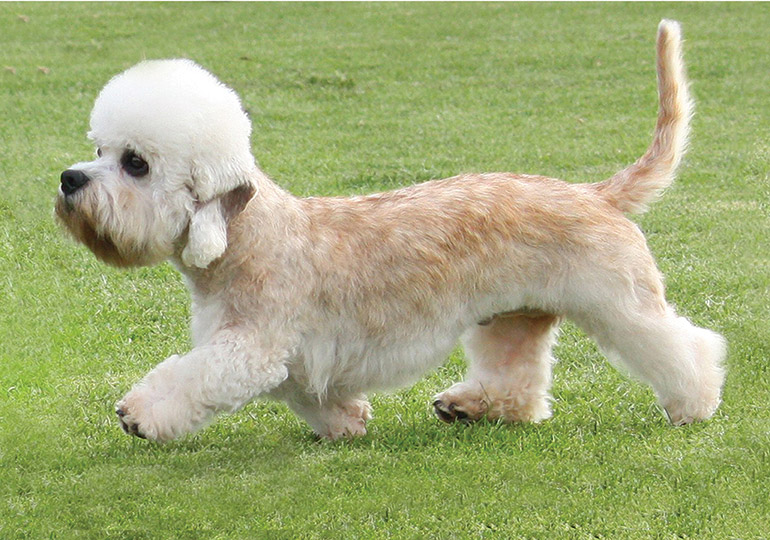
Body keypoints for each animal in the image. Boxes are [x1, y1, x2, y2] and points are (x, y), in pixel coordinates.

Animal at [57, 22, 724, 442]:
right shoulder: (294, 352)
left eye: (135, 163)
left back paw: (694, 404)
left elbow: (196, 379)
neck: (247, 241)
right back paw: (468, 405)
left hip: (620, 301)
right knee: (521, 388)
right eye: (99, 148)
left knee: (683, 345)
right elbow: (305, 390)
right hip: (510, 317)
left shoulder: (251, 345)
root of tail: (596, 193)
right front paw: (347, 420)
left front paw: (140, 413)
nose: (69, 180)